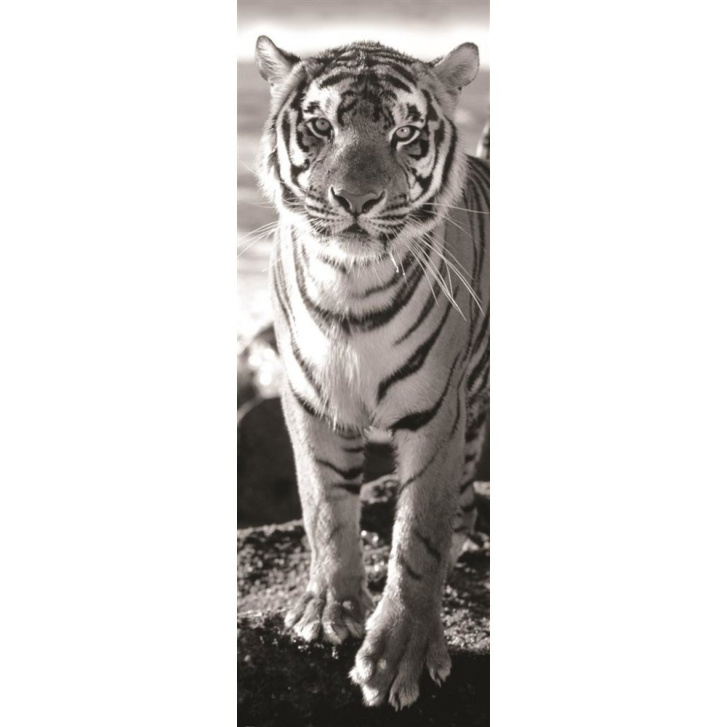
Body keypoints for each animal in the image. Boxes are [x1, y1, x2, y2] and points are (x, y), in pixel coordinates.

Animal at [253, 36, 489, 710]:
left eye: (405, 133)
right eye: (320, 127)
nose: (356, 202)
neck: (350, 288)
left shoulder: (436, 415)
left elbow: (418, 537)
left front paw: (399, 654)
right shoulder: (307, 401)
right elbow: (325, 510)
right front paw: (329, 611)